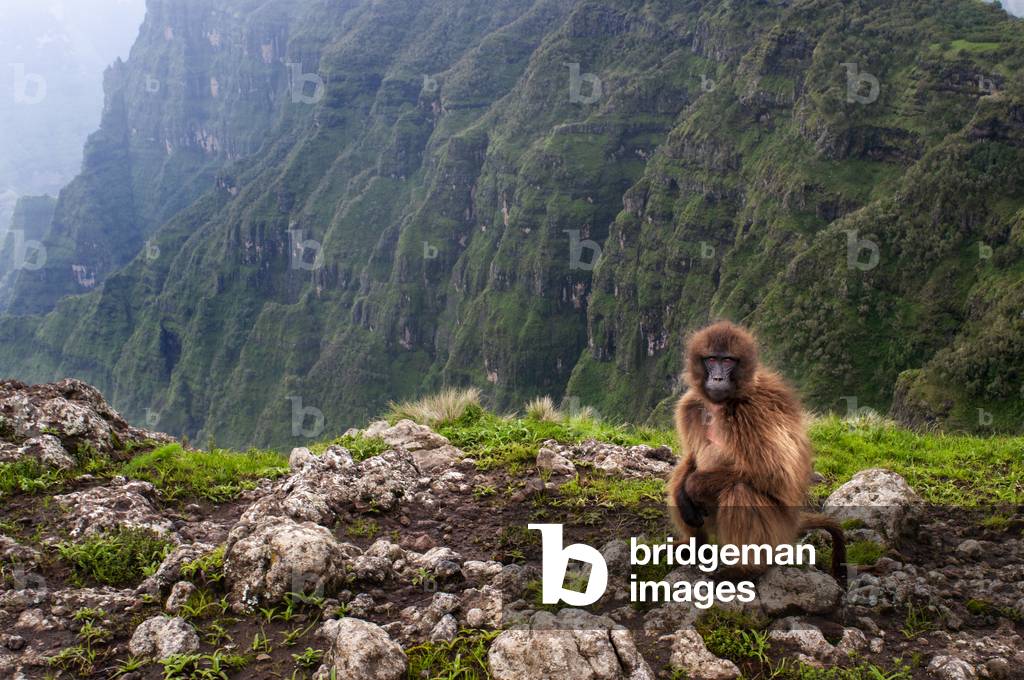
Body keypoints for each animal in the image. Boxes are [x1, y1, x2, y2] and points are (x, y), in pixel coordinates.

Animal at [666, 320, 847, 586]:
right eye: (711, 359)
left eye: (728, 361)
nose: (717, 378)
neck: (721, 405)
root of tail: (793, 524)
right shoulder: (691, 406)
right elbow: (691, 456)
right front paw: (682, 495)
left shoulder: (752, 411)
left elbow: (774, 473)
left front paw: (693, 487)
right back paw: (695, 546)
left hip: (776, 532)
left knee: (740, 490)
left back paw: (746, 568)